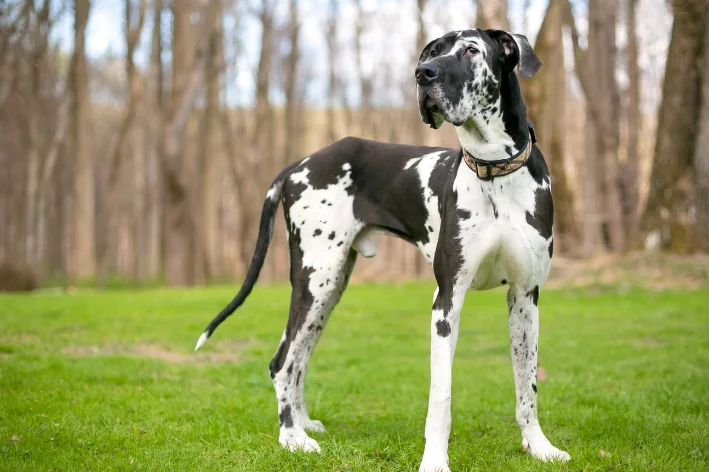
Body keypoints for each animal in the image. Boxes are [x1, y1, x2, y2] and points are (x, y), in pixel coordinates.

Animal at [196, 28, 572, 472]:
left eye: (470, 50)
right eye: (433, 52)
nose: (423, 73)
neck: (495, 172)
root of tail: (298, 165)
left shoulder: (525, 296)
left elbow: (527, 384)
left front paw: (539, 446)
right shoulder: (446, 302)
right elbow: (440, 398)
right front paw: (434, 462)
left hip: (329, 289)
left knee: (298, 358)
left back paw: (303, 423)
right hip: (315, 281)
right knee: (282, 362)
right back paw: (292, 438)